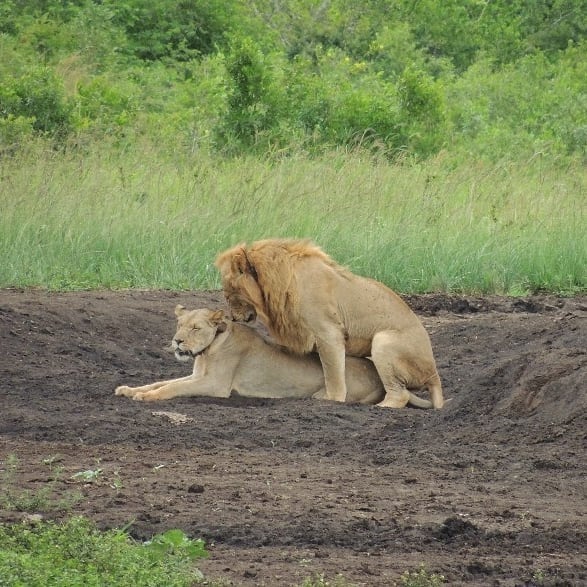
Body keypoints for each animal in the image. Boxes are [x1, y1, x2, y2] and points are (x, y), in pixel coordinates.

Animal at [116, 306, 436, 406]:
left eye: (195, 327)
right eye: (179, 324)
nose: (177, 340)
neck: (210, 348)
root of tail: (380, 377)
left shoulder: (215, 386)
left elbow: (170, 388)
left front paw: (145, 397)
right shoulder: (197, 376)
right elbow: (160, 383)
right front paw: (129, 389)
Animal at [216, 239, 446, 408]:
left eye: (228, 292)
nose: (233, 317)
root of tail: (434, 374)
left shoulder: (328, 332)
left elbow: (333, 371)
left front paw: (331, 399)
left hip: (383, 341)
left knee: (400, 395)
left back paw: (379, 406)